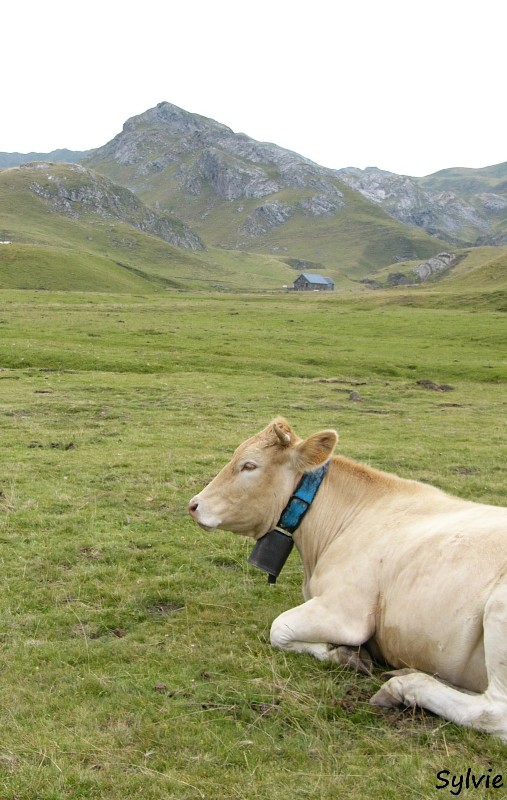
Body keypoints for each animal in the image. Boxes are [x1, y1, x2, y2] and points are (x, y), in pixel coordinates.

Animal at [189, 422, 507, 740]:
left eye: (249, 465)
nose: (194, 505)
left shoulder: (348, 613)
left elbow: (279, 629)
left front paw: (343, 653)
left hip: (498, 614)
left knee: (493, 711)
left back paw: (403, 687)